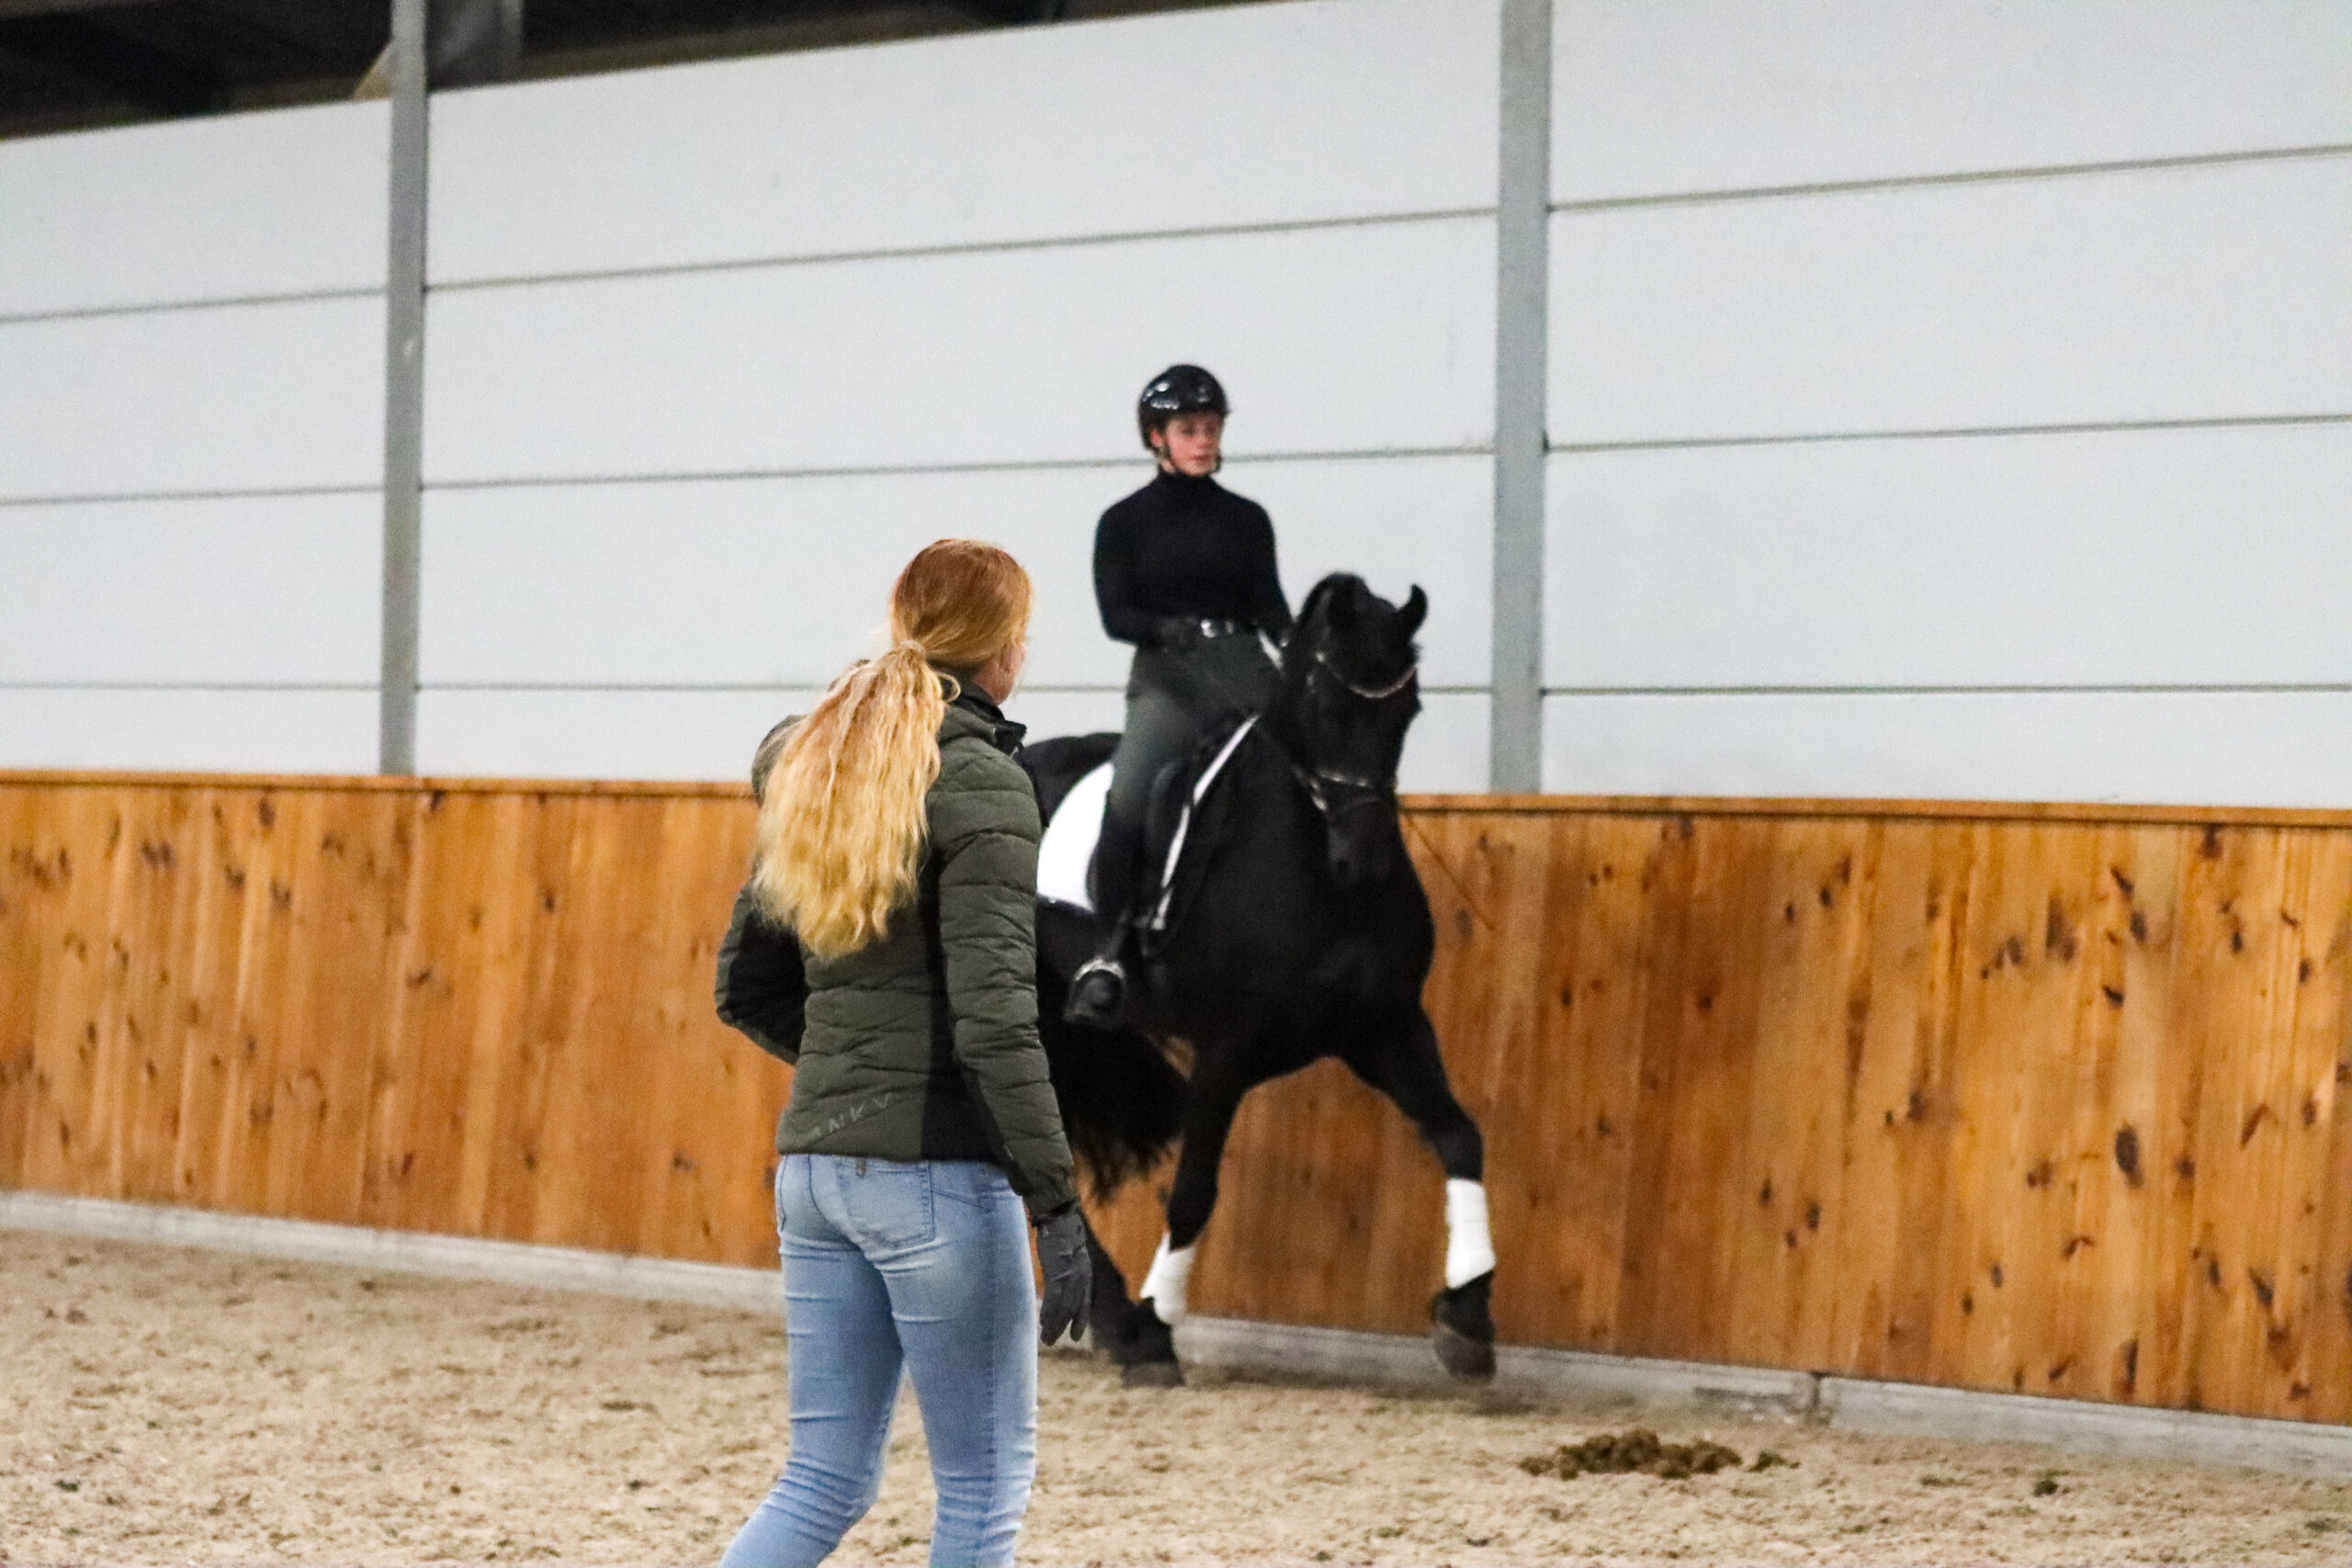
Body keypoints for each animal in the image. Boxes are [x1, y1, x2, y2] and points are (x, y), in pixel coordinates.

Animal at [1021, 573, 1496, 1382]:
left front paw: (1466, 1316)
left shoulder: (1385, 1027)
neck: (1317, 876)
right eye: (1329, 709)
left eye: (1408, 711)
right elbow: (1193, 1192)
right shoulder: (1226, 1048)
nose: (1364, 859)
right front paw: (1157, 1326)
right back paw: (1122, 1323)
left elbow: (1460, 1136)